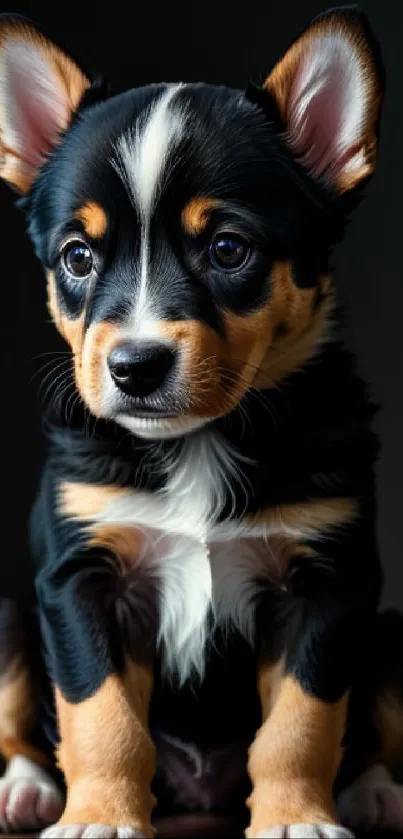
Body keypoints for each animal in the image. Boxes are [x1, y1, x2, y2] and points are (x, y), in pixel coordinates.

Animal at [0, 6, 403, 839]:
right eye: (77, 256)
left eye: (227, 248)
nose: (135, 365)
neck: (197, 445)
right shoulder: (79, 577)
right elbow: (99, 712)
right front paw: (100, 815)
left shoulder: (329, 584)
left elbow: (301, 721)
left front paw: (294, 816)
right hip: (11, 615)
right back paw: (26, 789)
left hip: (389, 632)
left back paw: (374, 791)